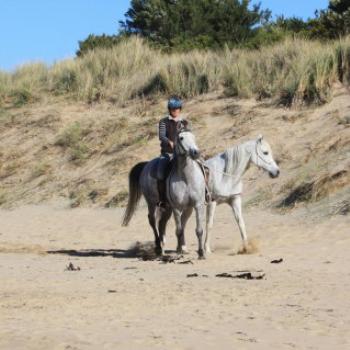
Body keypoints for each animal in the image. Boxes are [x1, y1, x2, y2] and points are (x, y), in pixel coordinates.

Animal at [121, 128, 206, 258]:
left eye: (193, 136)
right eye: (181, 138)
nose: (195, 153)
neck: (186, 177)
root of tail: (146, 165)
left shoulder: (196, 206)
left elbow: (198, 230)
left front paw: (200, 253)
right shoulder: (177, 207)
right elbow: (179, 230)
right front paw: (180, 252)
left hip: (168, 208)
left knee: (162, 223)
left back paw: (163, 248)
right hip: (152, 203)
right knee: (152, 221)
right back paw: (158, 247)